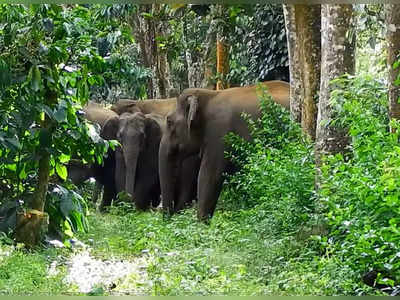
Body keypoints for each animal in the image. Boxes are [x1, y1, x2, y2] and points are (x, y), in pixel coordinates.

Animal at [159, 79, 290, 220]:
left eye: (169, 122)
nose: (169, 217)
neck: (209, 95)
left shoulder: (220, 134)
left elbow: (208, 177)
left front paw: (201, 223)